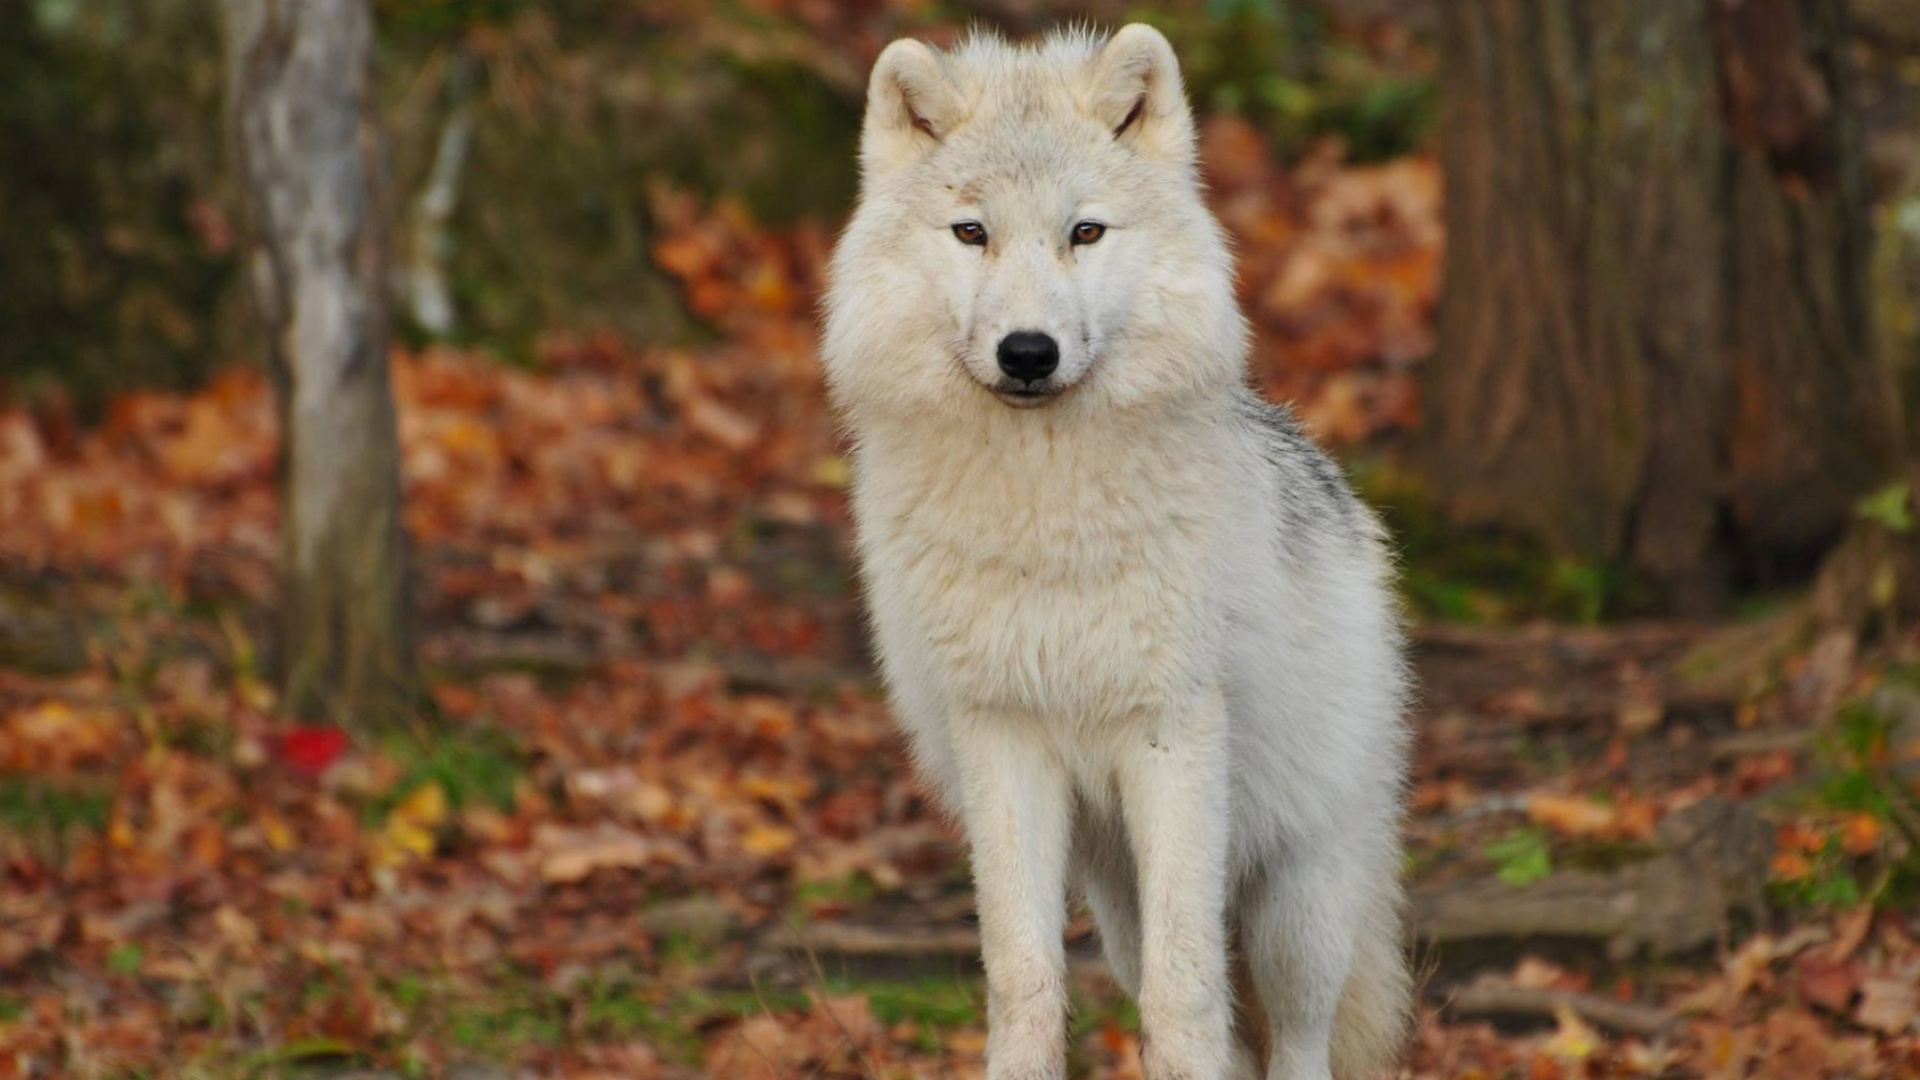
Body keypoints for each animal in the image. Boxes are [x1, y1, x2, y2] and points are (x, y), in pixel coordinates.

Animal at [821, 25, 1413, 1076]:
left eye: (1085, 233)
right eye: (971, 233)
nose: (1027, 352)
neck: (1046, 521)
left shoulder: (1170, 734)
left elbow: (1185, 1000)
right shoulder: (1002, 737)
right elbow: (1023, 981)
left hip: (1295, 902)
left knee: (1296, 1036)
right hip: (1118, 898)